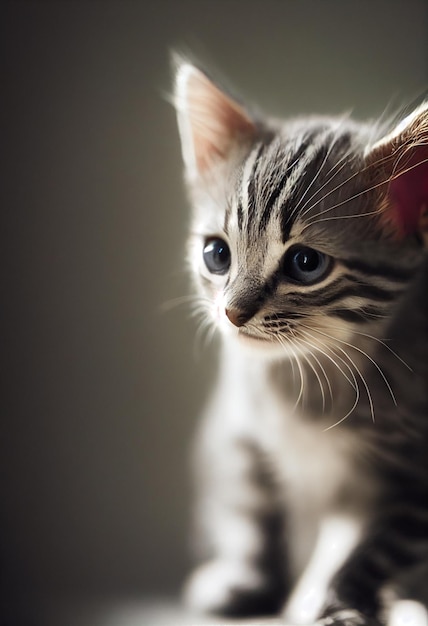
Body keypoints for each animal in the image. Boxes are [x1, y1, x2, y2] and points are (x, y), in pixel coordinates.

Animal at [172, 58, 426, 624]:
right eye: (217, 254)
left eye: (305, 264)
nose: (233, 312)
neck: (304, 374)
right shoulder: (237, 427)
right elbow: (249, 507)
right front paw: (247, 579)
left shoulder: (412, 474)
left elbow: (373, 547)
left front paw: (341, 602)